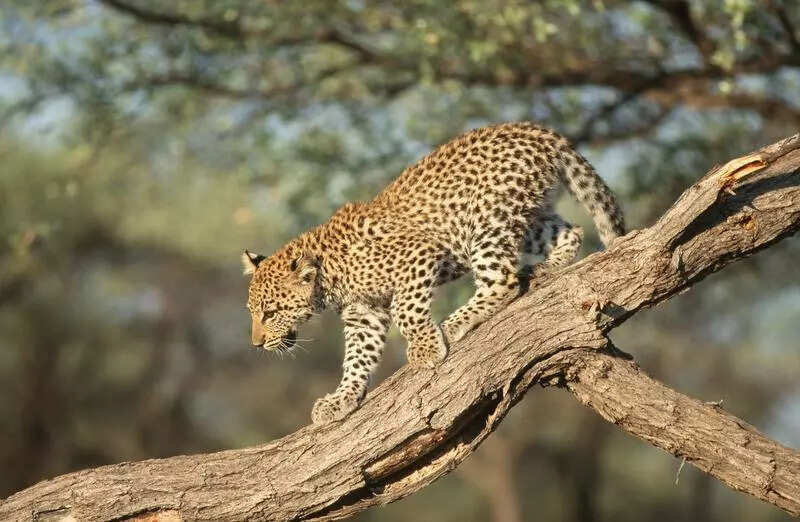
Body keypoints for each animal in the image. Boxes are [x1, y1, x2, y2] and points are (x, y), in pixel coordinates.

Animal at [242, 122, 625, 424]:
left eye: (270, 313)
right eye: (255, 313)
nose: (257, 344)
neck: (329, 276)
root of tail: (533, 128)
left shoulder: (417, 254)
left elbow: (405, 310)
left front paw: (425, 347)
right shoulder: (363, 312)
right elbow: (357, 357)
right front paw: (341, 399)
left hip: (486, 219)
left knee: (502, 280)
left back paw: (454, 323)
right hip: (524, 216)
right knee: (571, 231)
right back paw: (547, 267)